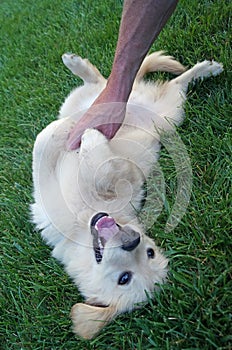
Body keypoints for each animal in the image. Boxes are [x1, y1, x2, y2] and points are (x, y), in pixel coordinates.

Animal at [31, 50, 223, 338]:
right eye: (124, 278)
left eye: (149, 253)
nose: (132, 240)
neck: (82, 222)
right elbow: (44, 146)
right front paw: (73, 132)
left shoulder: (123, 173)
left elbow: (94, 164)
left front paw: (87, 136)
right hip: (94, 101)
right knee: (102, 85)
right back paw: (76, 66)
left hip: (170, 111)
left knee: (172, 84)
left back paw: (207, 69)